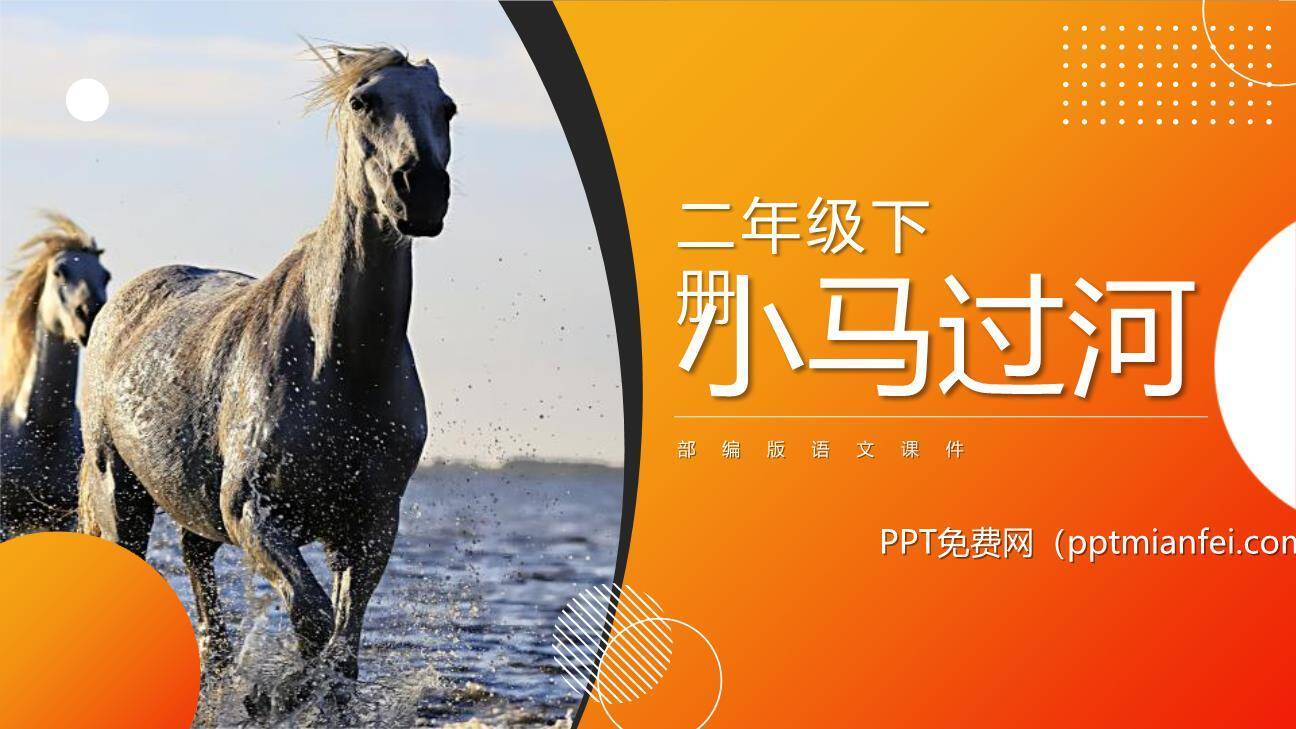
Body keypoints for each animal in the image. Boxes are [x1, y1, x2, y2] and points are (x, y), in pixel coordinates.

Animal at [78, 45, 454, 716]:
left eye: (448, 108)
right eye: (363, 101)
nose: (422, 191)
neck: (340, 367)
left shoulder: (370, 524)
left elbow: (343, 644)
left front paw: (306, 696)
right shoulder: (254, 510)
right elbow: (311, 617)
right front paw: (279, 694)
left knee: (201, 576)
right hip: (119, 491)